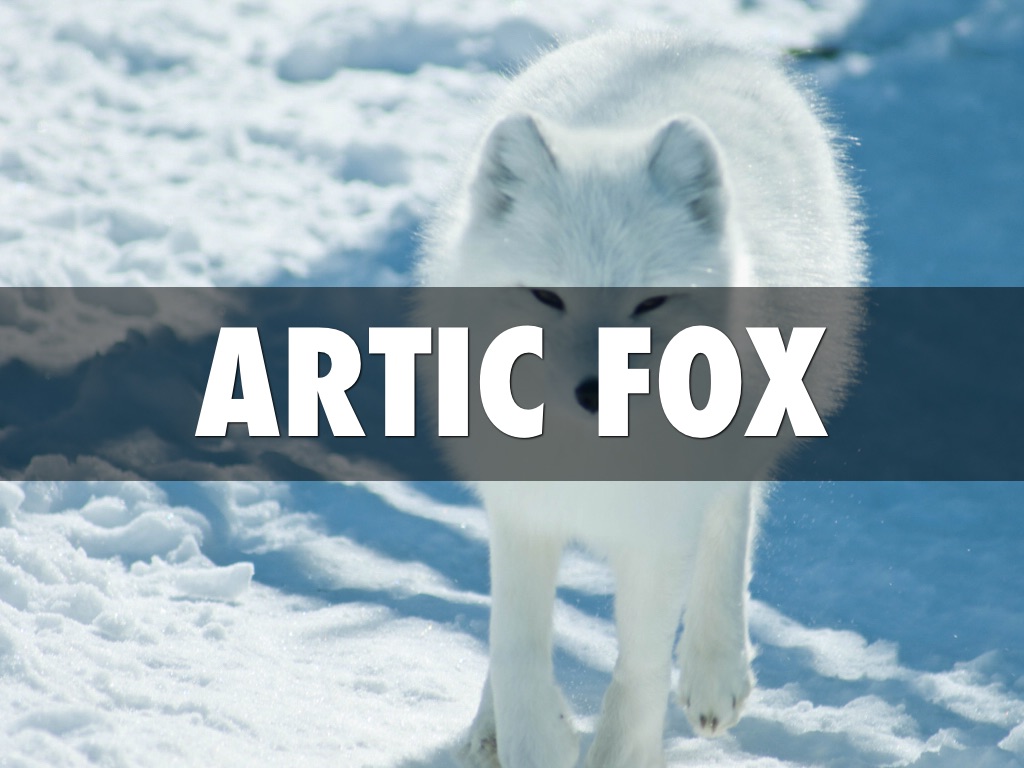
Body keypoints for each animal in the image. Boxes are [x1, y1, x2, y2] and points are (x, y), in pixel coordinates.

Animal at [417, 29, 867, 768]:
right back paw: (487, 729)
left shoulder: (657, 531)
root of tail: (684, 37)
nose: (596, 391)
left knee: (731, 518)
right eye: (547, 295)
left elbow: (640, 670)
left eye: (650, 303)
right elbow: (516, 651)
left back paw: (715, 667)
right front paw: (532, 734)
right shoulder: (521, 511)